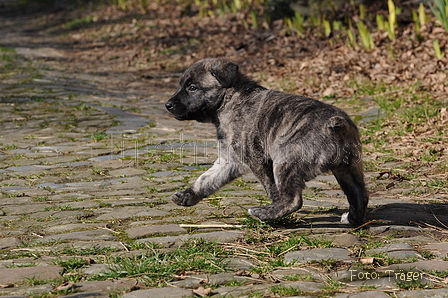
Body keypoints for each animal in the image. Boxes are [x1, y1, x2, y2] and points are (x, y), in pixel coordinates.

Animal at [164, 57, 368, 226]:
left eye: (192, 88)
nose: (167, 105)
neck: (230, 101)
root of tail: (336, 124)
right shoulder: (229, 160)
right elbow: (206, 179)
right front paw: (187, 196)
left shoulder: (257, 160)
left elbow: (271, 188)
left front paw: (272, 206)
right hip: (347, 168)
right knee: (360, 195)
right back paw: (351, 219)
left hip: (286, 161)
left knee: (293, 200)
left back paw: (265, 214)